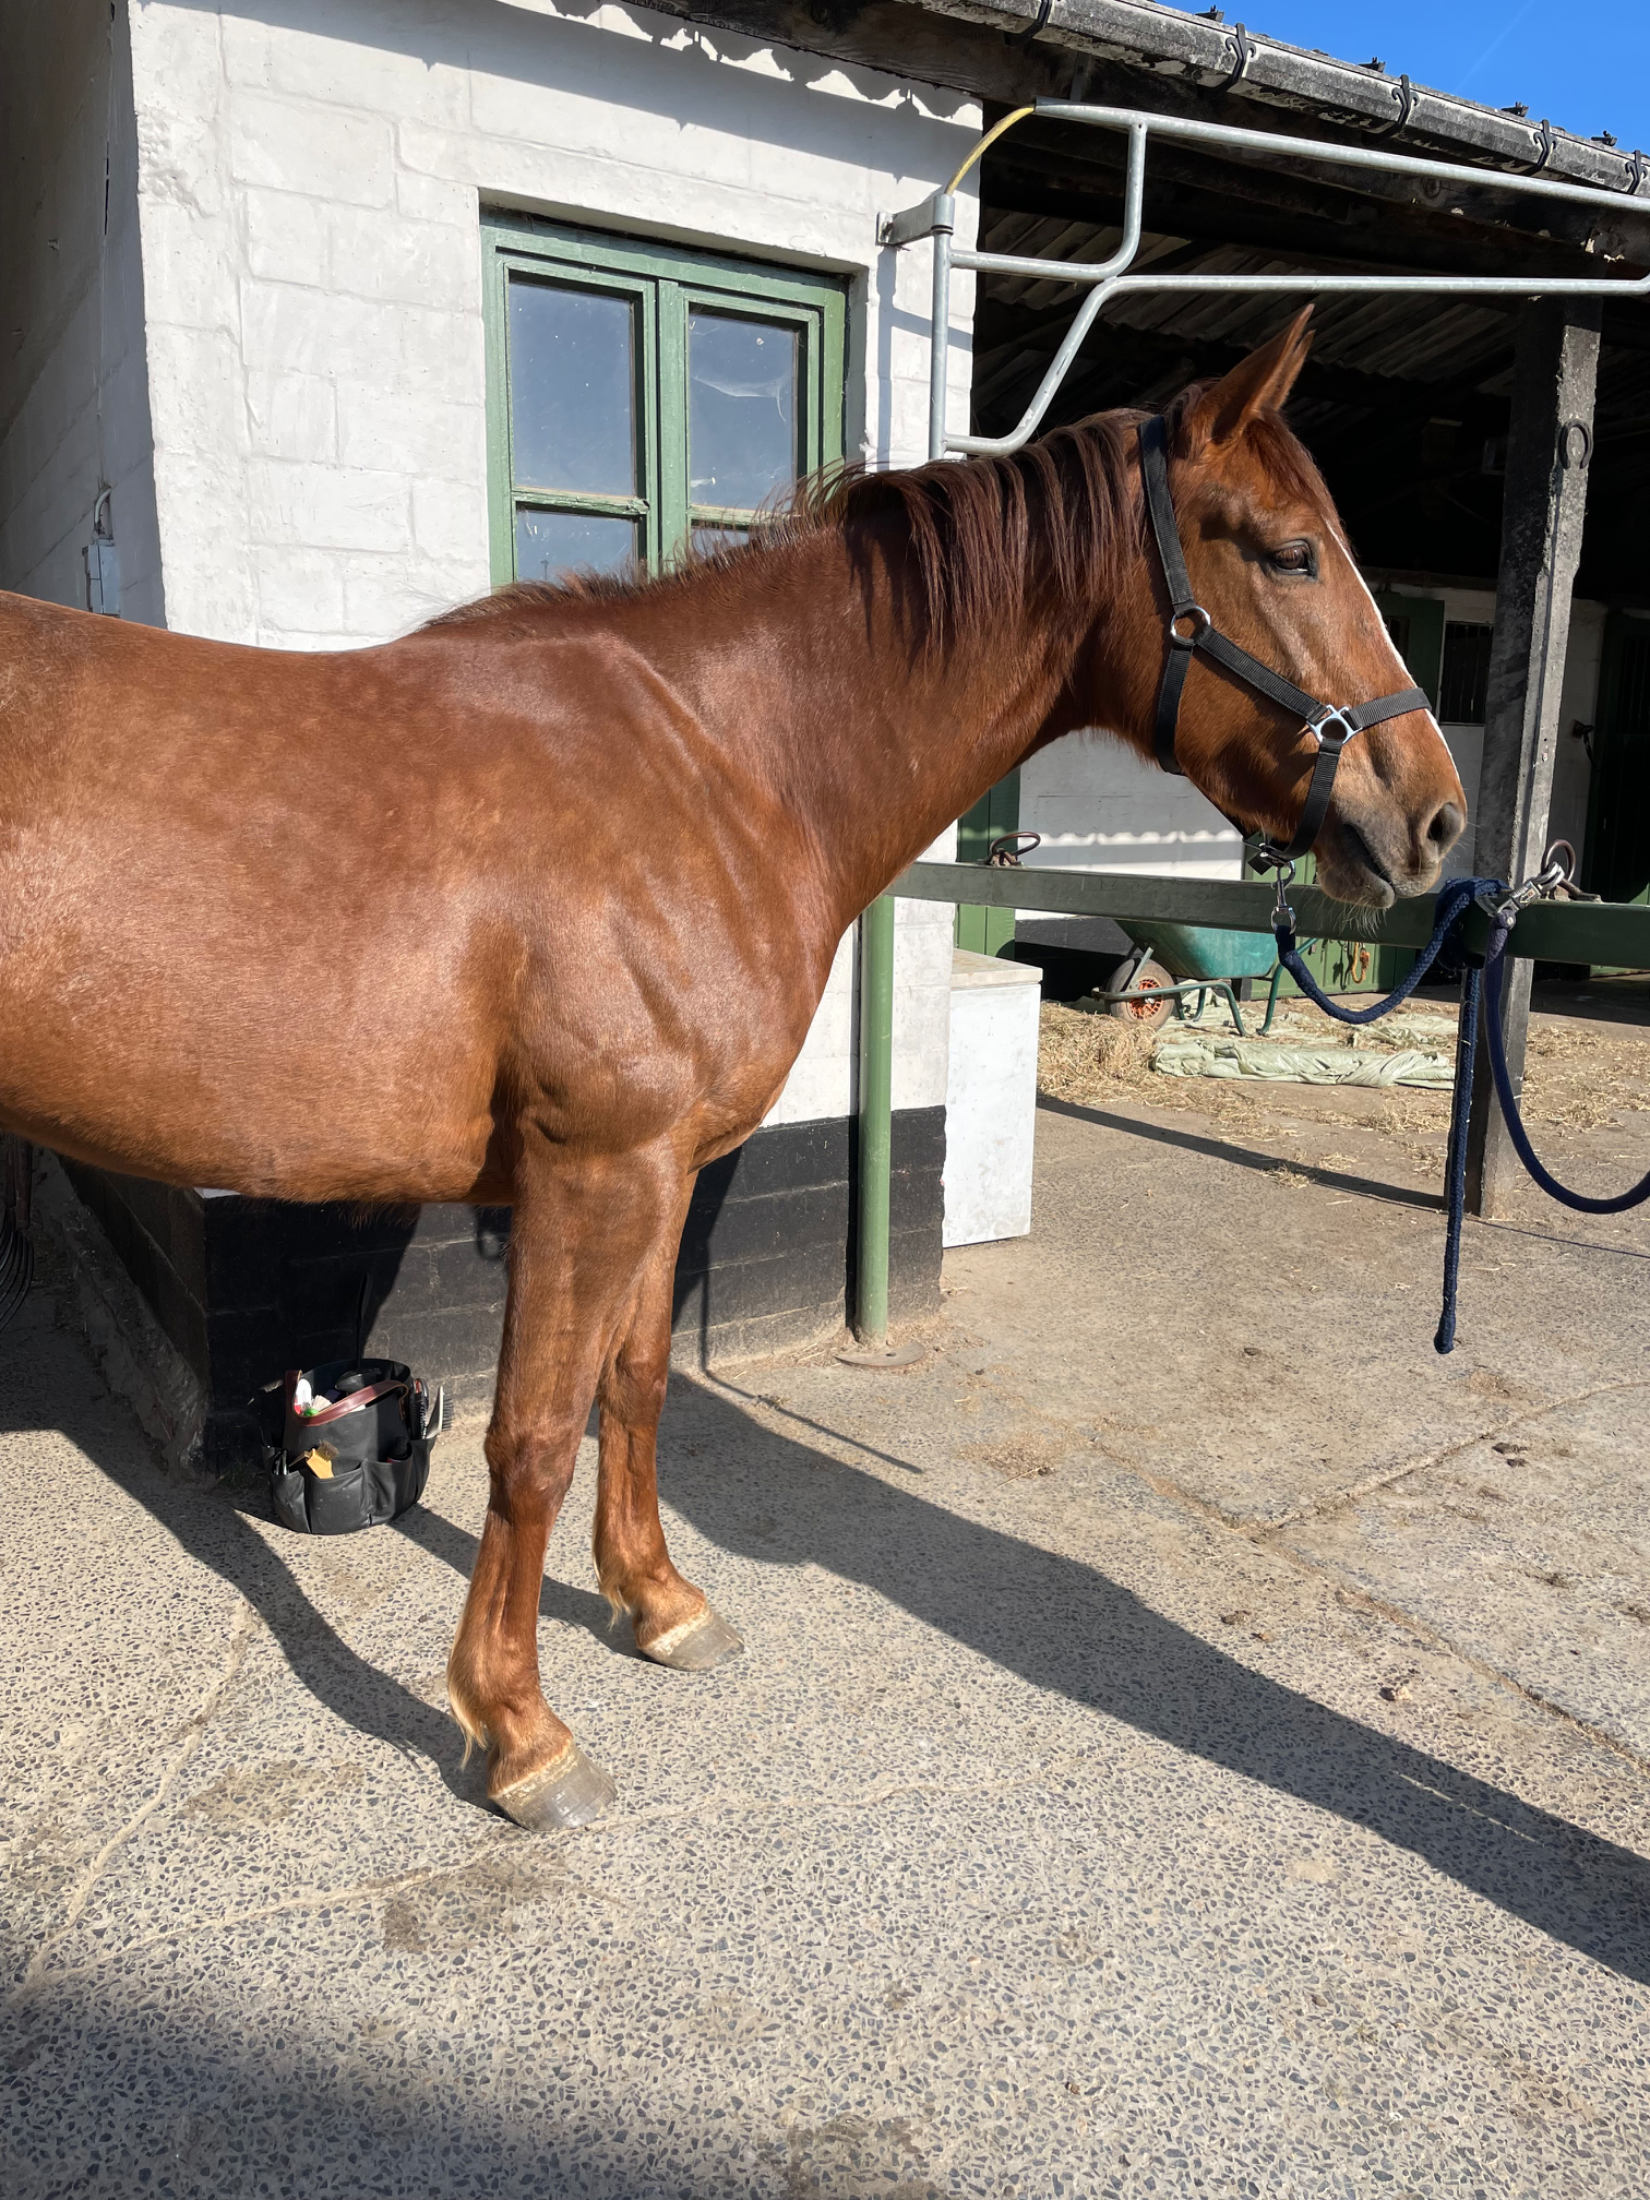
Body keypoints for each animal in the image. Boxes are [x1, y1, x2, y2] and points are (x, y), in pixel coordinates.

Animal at [0, 308, 1463, 1829]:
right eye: (1288, 552)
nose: (1432, 819)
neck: (712, 764)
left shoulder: (661, 1173)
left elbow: (635, 1385)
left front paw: (656, 1605)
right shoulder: (594, 1174)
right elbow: (533, 1437)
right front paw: (517, 1730)